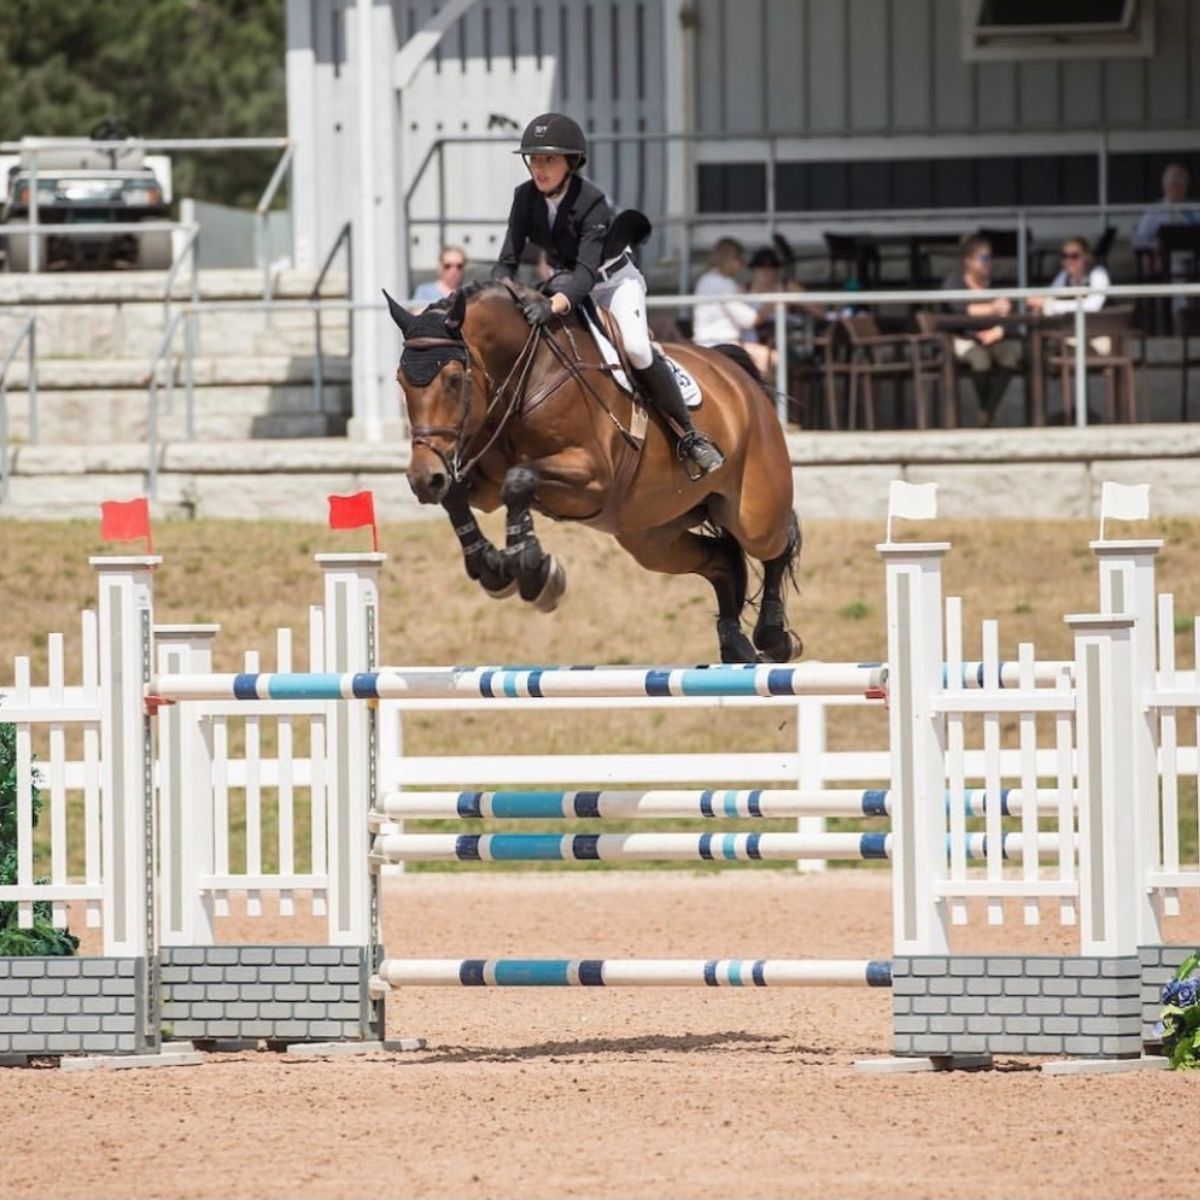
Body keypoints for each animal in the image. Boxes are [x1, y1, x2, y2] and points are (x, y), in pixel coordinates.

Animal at [384, 283, 801, 667]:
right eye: (400, 382)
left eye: (454, 380)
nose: (423, 478)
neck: (527, 376)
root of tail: (736, 376)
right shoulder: (482, 482)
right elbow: (459, 494)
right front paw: (491, 566)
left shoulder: (593, 479)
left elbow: (518, 480)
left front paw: (532, 569)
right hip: (651, 536)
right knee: (722, 558)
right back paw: (735, 645)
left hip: (751, 513)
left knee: (778, 544)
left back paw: (773, 637)